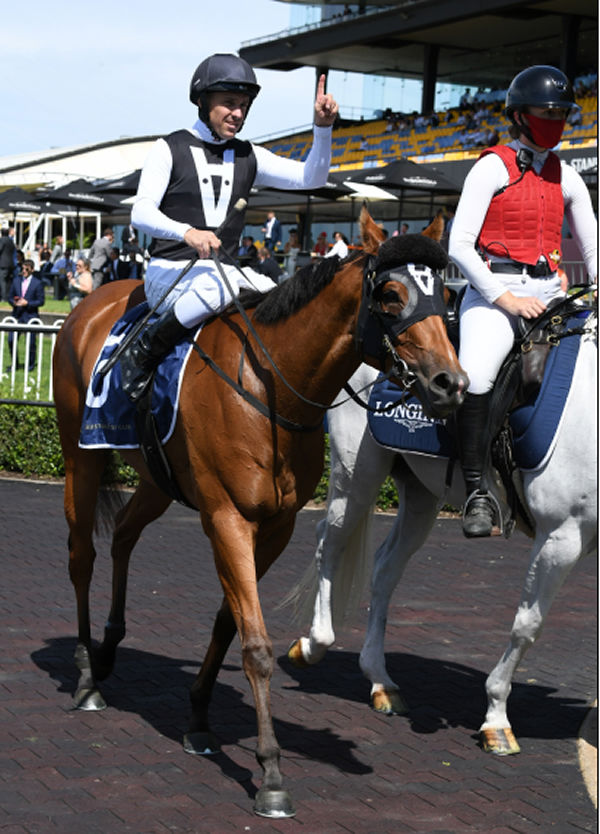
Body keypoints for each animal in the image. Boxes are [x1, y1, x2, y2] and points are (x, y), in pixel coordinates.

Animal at [52, 205, 468, 816]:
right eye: (391, 294)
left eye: (445, 293)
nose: (451, 383)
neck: (270, 390)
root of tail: (90, 302)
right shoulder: (227, 518)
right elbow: (255, 643)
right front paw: (270, 771)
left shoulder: (275, 525)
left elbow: (230, 622)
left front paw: (199, 716)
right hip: (80, 458)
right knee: (81, 555)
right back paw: (86, 676)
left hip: (156, 479)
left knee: (125, 534)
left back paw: (107, 649)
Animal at [286, 306, 596, 752]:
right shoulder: (562, 535)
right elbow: (527, 626)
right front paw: (496, 719)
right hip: (356, 474)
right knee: (329, 542)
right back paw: (313, 644)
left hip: (420, 494)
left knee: (385, 568)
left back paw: (381, 682)